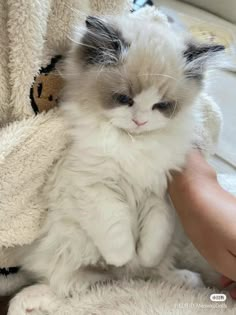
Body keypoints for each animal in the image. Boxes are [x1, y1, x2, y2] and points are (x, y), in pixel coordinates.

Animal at [8, 6, 224, 315]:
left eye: (161, 106)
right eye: (124, 99)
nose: (140, 121)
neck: (132, 145)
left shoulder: (162, 192)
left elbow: (155, 235)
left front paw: (143, 255)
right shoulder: (95, 185)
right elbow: (116, 229)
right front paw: (123, 256)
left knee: (152, 273)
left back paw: (183, 279)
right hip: (69, 263)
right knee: (63, 288)